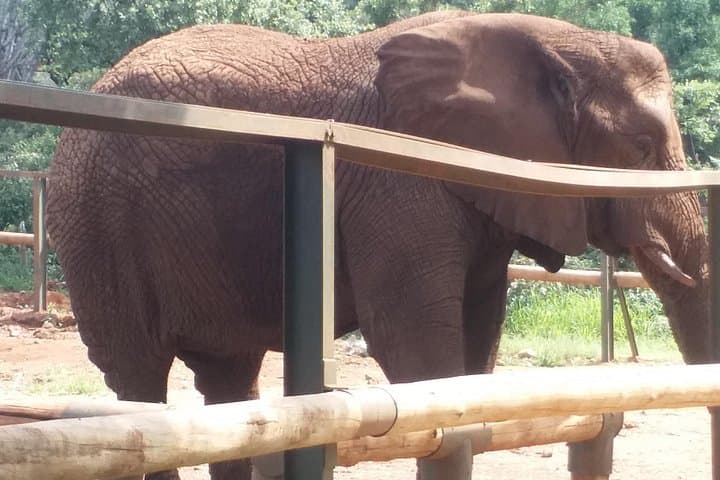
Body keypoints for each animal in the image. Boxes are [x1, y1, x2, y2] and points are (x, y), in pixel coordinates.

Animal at [46, 10, 710, 480]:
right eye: (643, 148)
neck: (549, 36)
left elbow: (476, 349)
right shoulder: (395, 183)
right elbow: (414, 347)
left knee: (228, 380)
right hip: (96, 223)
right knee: (139, 383)